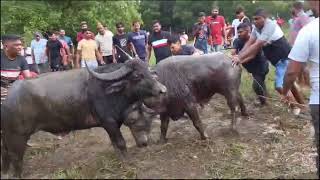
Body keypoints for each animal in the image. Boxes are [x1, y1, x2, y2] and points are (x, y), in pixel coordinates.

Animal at [1, 59, 168, 177]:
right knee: (16, 158)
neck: (110, 91)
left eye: (148, 71)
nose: (163, 90)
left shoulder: (111, 125)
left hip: (6, 136)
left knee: (5, 153)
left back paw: (5, 172)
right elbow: (121, 143)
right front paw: (128, 163)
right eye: (137, 75)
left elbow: (115, 144)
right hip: (17, 136)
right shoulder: (109, 122)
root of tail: (7, 97)